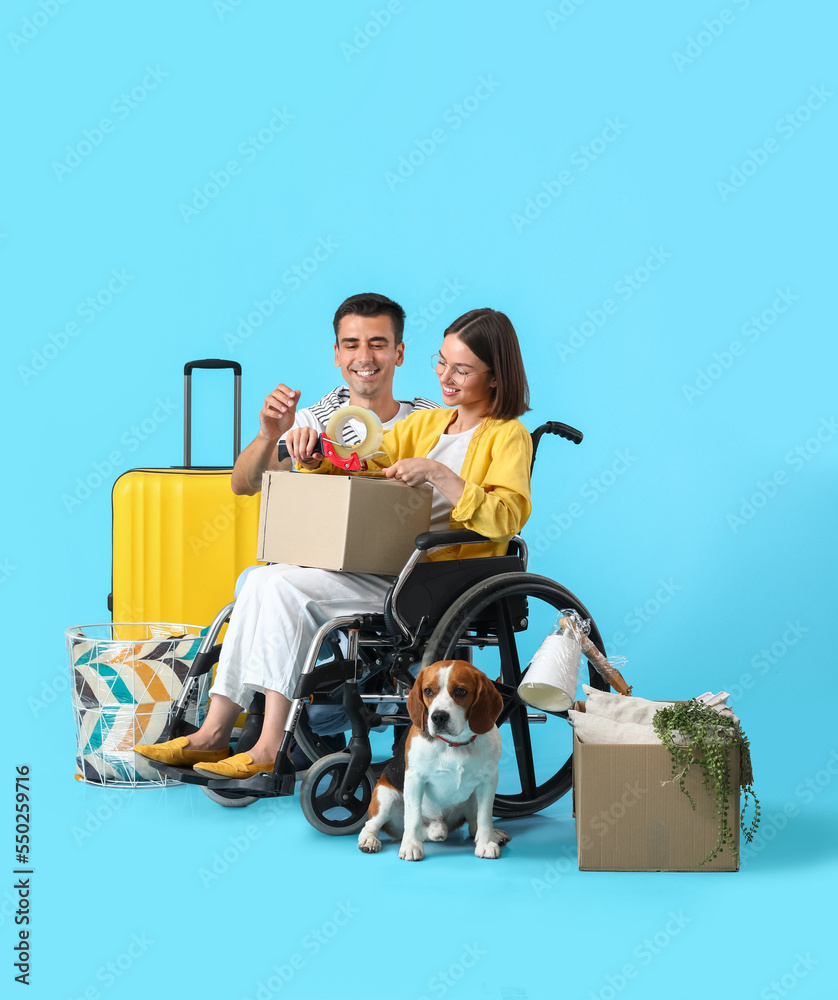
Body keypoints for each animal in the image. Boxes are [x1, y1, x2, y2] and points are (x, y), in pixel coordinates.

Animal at [358, 656, 508, 860]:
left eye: (460, 691)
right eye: (428, 691)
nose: (438, 717)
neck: (455, 743)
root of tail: (434, 825)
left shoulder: (488, 780)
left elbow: (485, 816)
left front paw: (486, 843)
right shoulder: (414, 779)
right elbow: (413, 816)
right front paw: (411, 846)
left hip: (471, 797)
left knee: (473, 824)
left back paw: (489, 835)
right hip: (384, 796)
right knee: (371, 824)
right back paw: (369, 840)